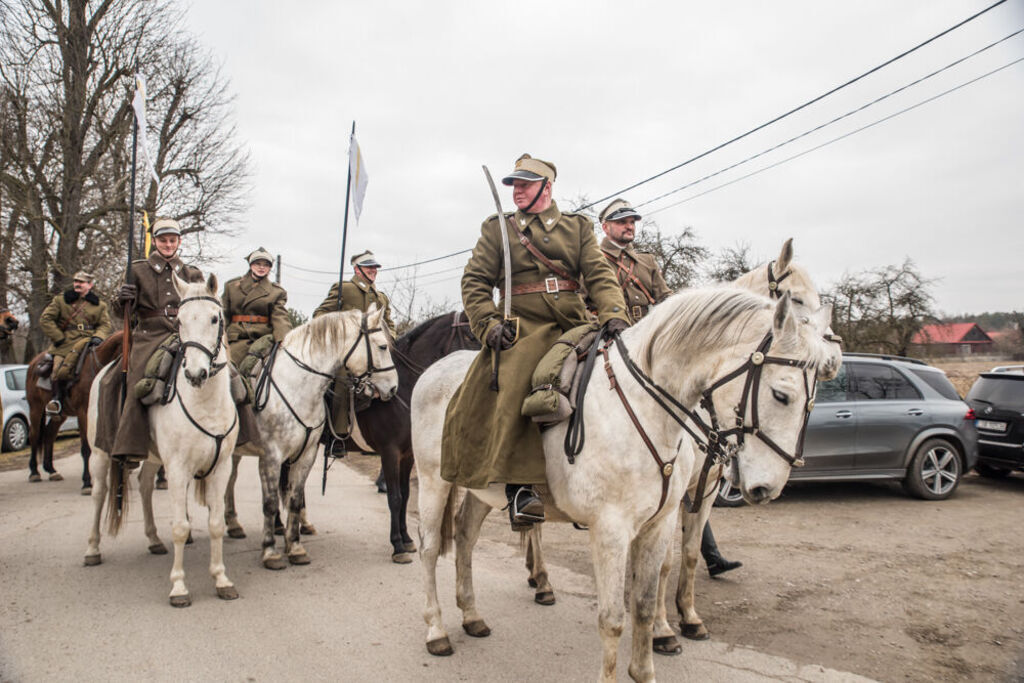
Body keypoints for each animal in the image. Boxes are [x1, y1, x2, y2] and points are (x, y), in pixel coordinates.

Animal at [25, 331, 122, 491]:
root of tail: (33, 362)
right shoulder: (83, 414)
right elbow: (86, 448)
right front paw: (87, 482)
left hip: (61, 415)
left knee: (49, 434)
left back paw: (51, 470)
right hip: (35, 408)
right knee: (34, 435)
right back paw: (34, 472)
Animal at [83, 274, 239, 606]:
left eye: (215, 318)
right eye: (179, 320)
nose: (195, 373)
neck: (205, 403)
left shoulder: (221, 468)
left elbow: (216, 524)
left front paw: (221, 579)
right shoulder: (178, 469)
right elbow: (180, 527)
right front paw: (179, 586)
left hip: (154, 459)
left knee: (143, 486)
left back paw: (154, 539)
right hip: (99, 454)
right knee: (100, 494)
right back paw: (92, 549)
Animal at [234, 307, 397, 569]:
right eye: (383, 346)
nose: (393, 388)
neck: (297, 386)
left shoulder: (306, 454)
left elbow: (294, 498)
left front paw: (295, 547)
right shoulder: (270, 456)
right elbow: (270, 502)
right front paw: (270, 551)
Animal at [411, 286, 835, 679]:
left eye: (814, 400)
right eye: (781, 394)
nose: (768, 489)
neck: (645, 409)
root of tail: (433, 371)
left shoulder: (661, 521)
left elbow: (647, 601)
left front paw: (653, 656)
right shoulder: (611, 530)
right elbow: (613, 618)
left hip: (481, 488)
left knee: (465, 536)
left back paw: (471, 615)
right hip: (433, 481)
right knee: (430, 549)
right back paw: (436, 631)